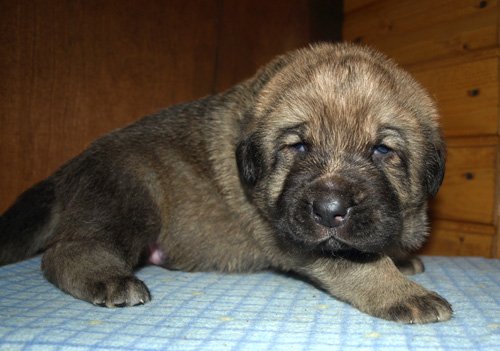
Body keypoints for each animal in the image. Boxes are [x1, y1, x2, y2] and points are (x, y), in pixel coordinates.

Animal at [0, 43, 452, 324]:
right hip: (131, 196)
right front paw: (402, 292)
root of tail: (67, 168)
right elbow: (357, 263)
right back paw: (109, 279)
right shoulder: (289, 234)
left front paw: (401, 258)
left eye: (382, 150)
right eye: (298, 147)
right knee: (64, 252)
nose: (329, 211)